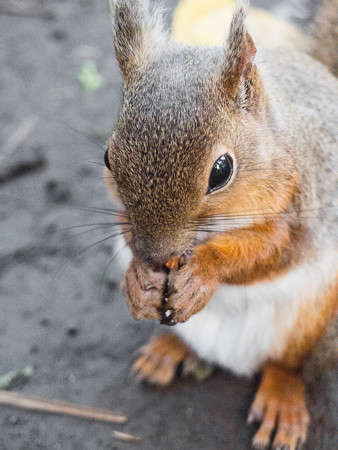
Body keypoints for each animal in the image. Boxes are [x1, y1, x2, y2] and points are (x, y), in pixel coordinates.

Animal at [105, 0, 336, 450]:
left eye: (221, 170)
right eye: (107, 157)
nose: (156, 255)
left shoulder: (302, 208)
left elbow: (269, 252)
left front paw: (202, 273)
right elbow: (126, 228)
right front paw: (137, 278)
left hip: (314, 321)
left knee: (287, 366)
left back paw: (282, 401)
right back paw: (168, 351)